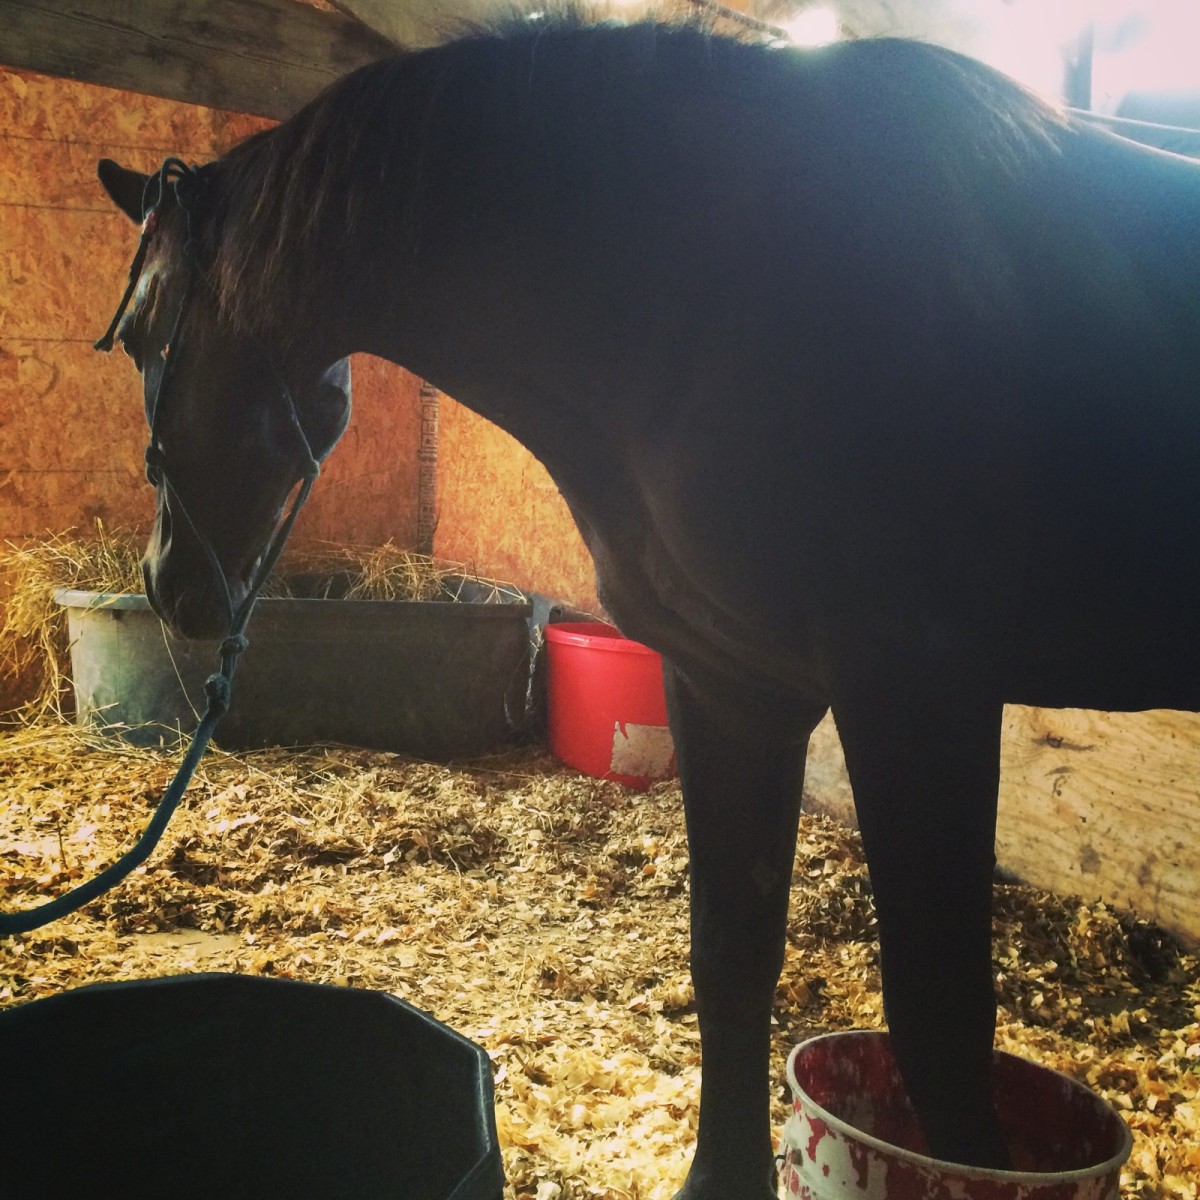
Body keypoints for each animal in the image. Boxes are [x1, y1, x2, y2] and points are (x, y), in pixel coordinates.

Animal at [96, 16, 1200, 1190]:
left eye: (140, 335)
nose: (167, 585)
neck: (717, 294)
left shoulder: (920, 695)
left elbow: (941, 1023)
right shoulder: (731, 683)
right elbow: (731, 956)